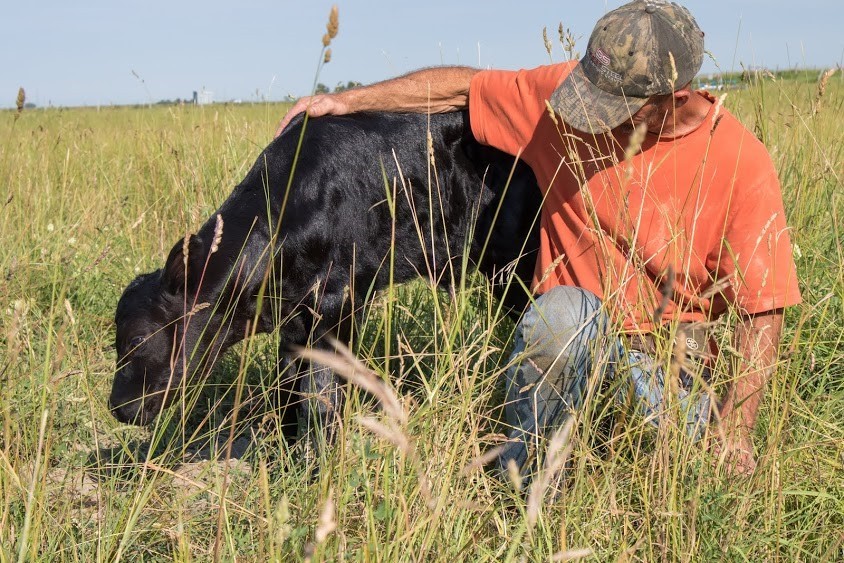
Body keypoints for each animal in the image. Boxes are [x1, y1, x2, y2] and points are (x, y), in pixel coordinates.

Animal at [110, 110, 540, 434]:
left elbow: (322, 396)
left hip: (517, 265)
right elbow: (287, 390)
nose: (117, 408)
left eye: (136, 338)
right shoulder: (293, 321)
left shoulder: (340, 303)